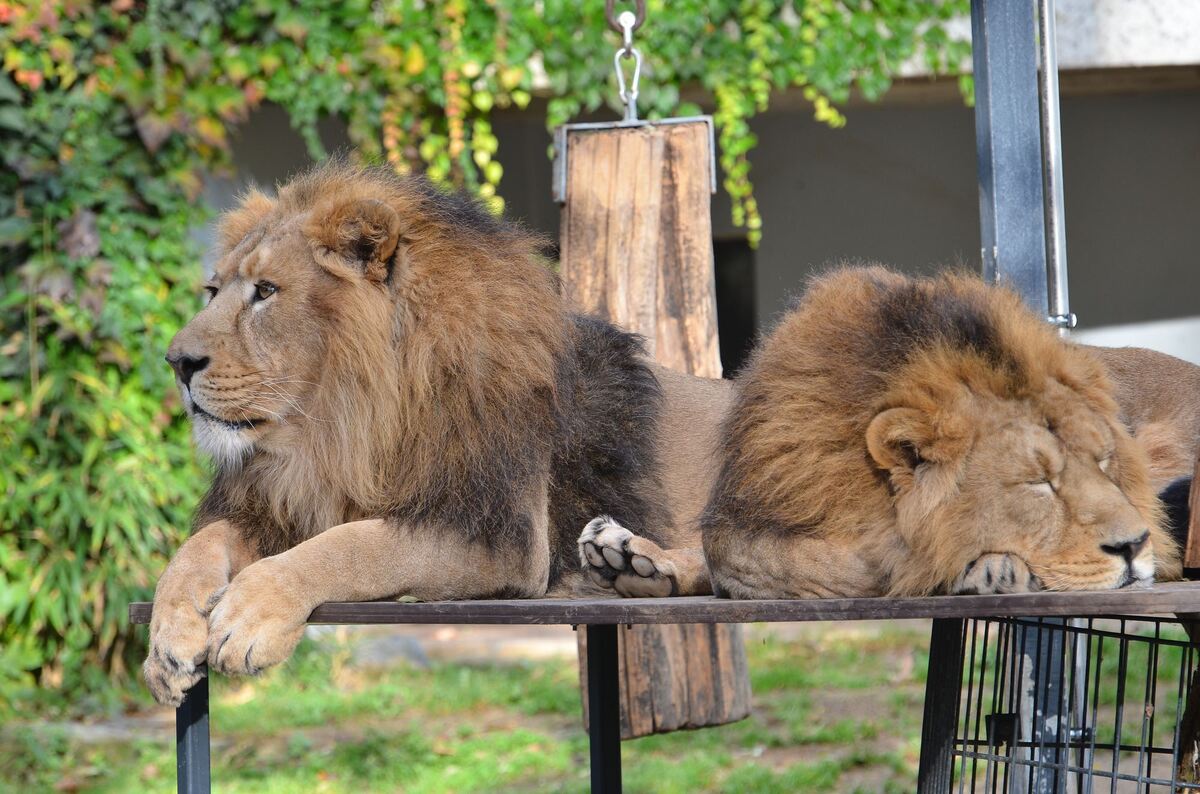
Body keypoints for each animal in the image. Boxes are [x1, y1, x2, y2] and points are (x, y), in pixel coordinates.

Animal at [143, 161, 721, 706]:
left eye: (265, 291)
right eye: (213, 291)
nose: (176, 362)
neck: (343, 427)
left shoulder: (497, 534)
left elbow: (354, 546)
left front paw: (249, 613)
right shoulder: (294, 501)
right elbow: (198, 546)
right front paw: (167, 638)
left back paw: (639, 560)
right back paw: (634, 567)